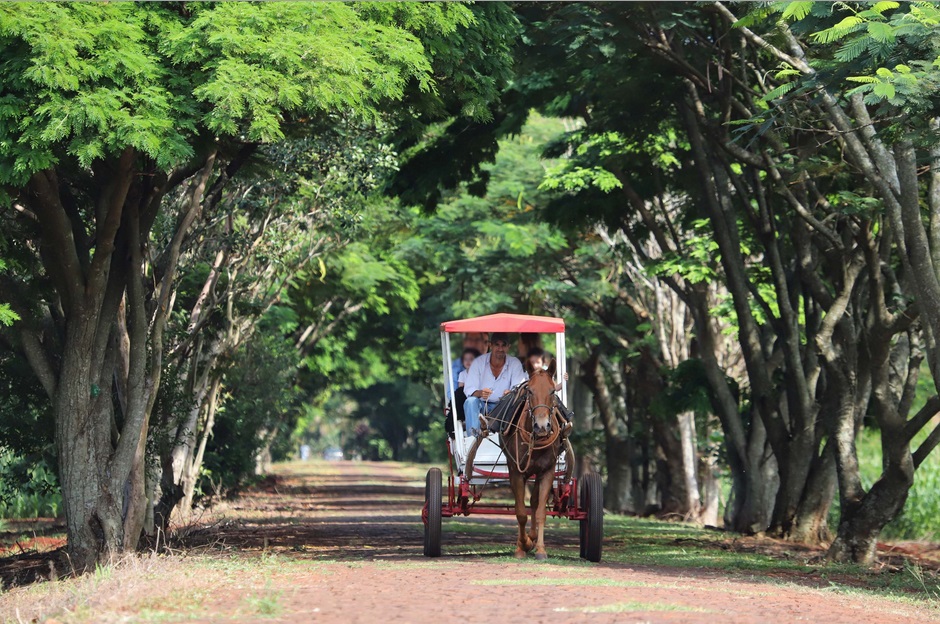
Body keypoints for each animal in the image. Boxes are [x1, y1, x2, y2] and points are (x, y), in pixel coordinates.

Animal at [504, 358, 560, 560]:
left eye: (552, 391)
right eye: (530, 391)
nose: (542, 426)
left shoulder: (547, 472)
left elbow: (541, 511)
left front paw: (540, 549)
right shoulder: (516, 472)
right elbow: (520, 512)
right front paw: (523, 545)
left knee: (535, 502)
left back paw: (534, 537)